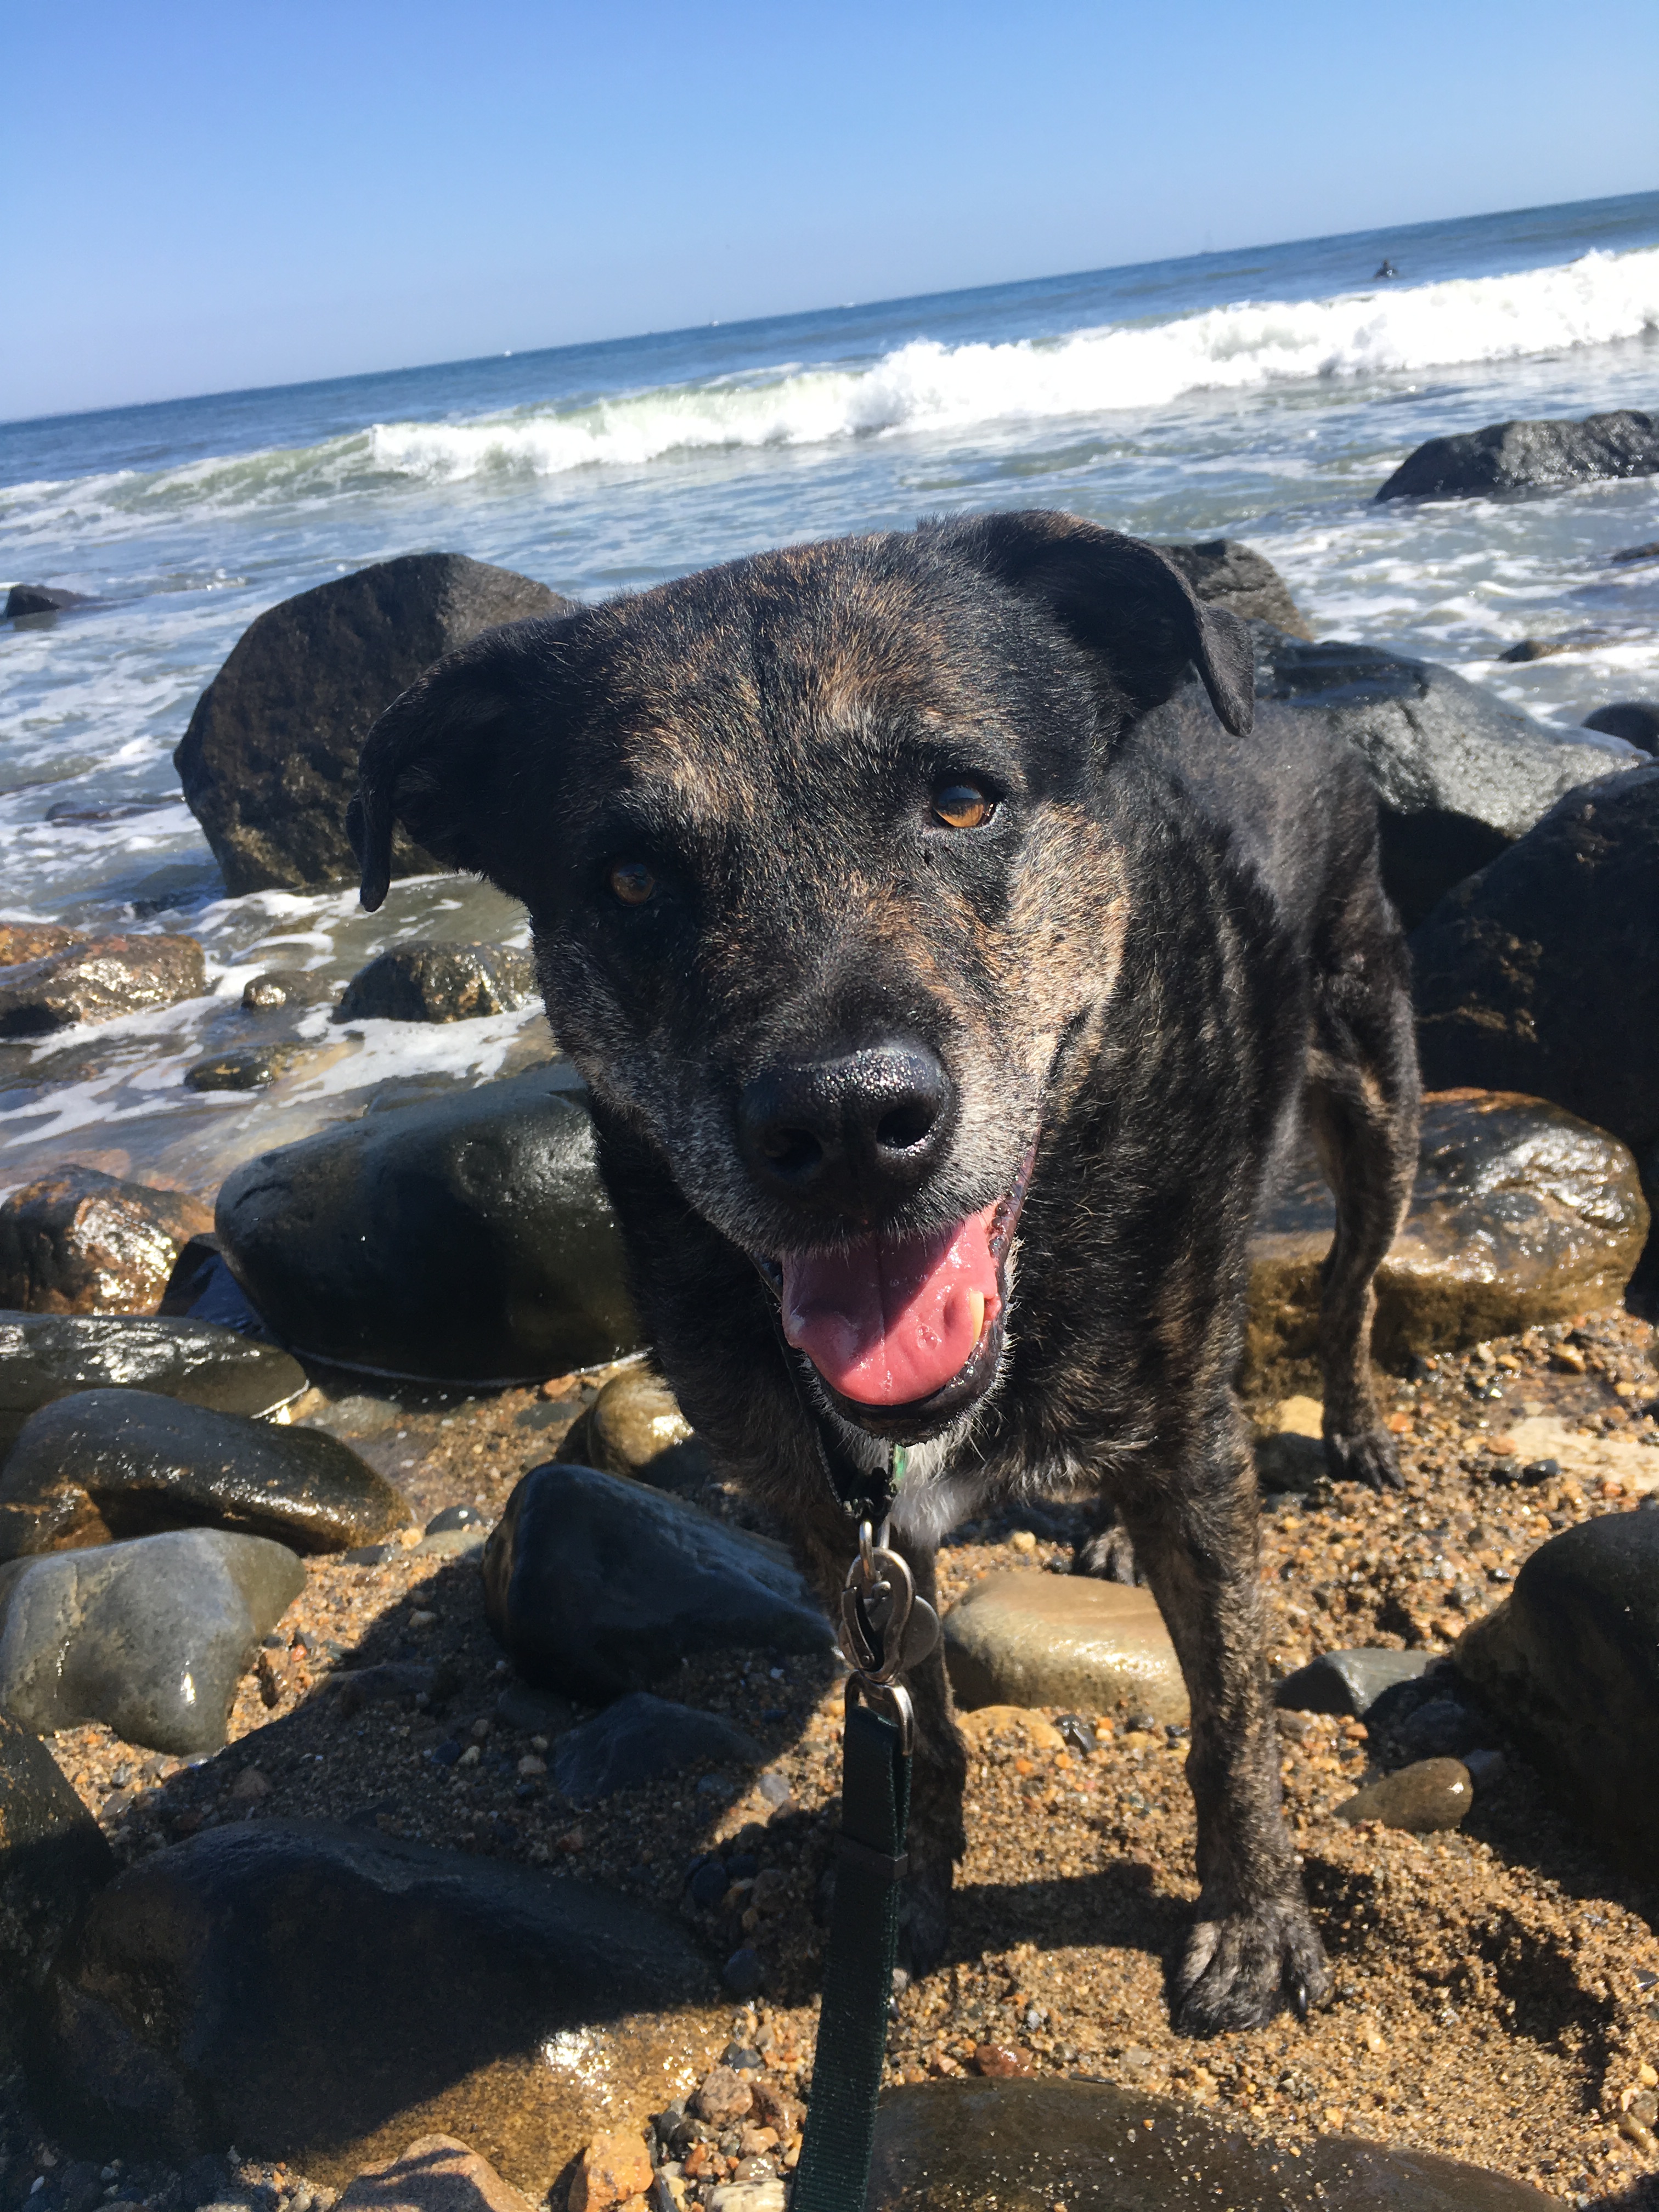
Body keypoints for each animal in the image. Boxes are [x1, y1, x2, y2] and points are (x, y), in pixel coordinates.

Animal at [350, 510, 1421, 2033]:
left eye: (962, 800)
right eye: (630, 878)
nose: (847, 1126)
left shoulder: (1188, 1454)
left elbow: (1231, 1711)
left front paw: (1255, 1918)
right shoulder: (829, 1524)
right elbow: (921, 1717)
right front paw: (908, 1886)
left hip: (1375, 1107)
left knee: (1344, 1294)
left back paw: (1354, 1427)